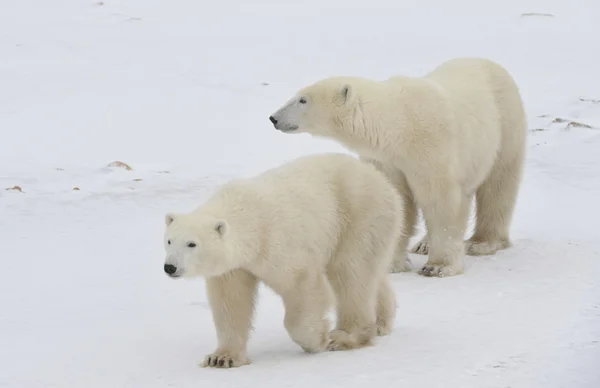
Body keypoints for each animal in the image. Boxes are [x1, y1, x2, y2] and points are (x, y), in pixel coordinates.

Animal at [162, 153, 400, 368]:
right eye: (169, 240)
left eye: (192, 244)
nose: (169, 267)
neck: (248, 216)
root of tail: (382, 180)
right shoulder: (234, 267)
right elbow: (231, 302)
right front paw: (221, 358)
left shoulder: (277, 243)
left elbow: (304, 286)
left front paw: (318, 339)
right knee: (370, 273)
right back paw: (381, 323)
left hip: (358, 214)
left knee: (350, 273)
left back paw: (344, 336)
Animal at [270, 56, 528, 278]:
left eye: (303, 100)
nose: (273, 118)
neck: (400, 126)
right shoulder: (386, 159)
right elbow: (398, 200)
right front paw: (390, 264)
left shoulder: (432, 148)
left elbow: (442, 200)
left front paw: (438, 267)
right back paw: (423, 244)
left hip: (506, 125)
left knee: (498, 186)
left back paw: (482, 242)